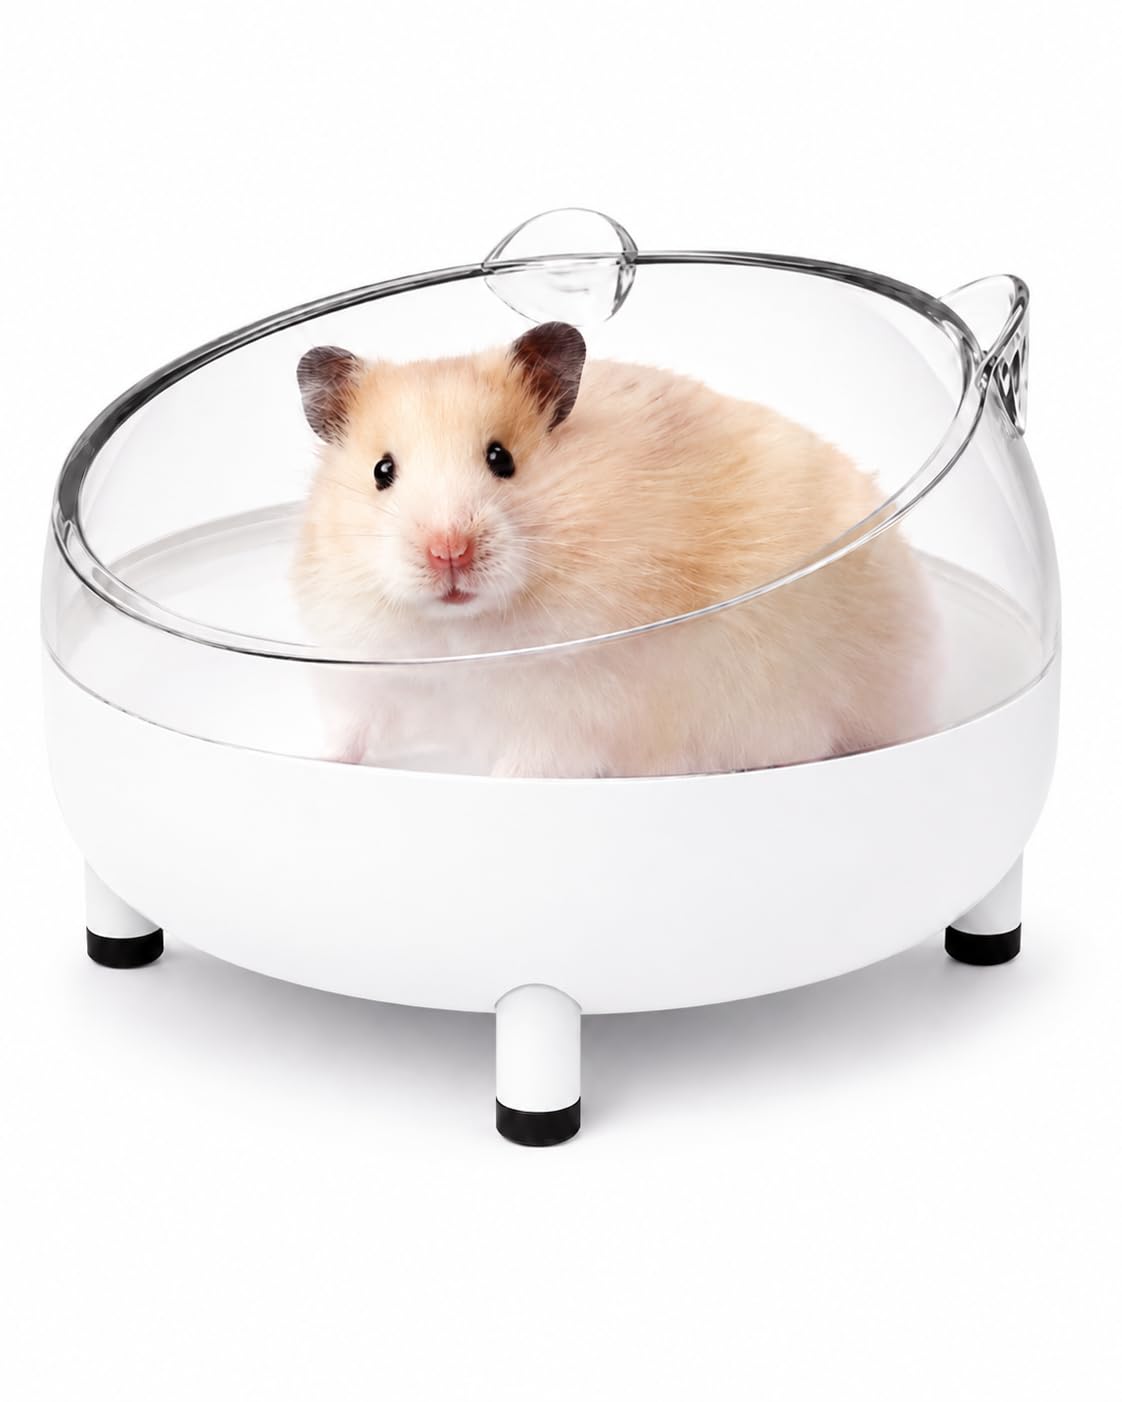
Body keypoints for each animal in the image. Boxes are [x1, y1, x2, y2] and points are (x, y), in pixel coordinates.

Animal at [293, 321, 938, 777]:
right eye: (382, 471)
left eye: (502, 458)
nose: (447, 552)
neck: (459, 634)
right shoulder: (362, 673)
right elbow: (348, 735)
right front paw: (311, 761)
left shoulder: (573, 713)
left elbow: (529, 762)